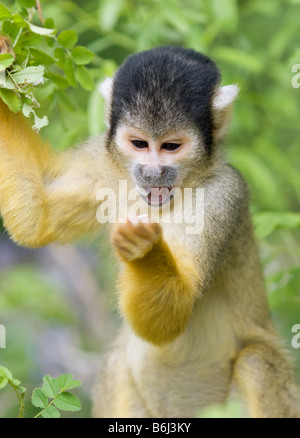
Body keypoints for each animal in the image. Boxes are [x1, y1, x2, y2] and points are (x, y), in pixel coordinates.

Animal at [0, 43, 298, 418]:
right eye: (140, 144)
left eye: (171, 147)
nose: (152, 174)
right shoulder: (105, 165)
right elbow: (36, 216)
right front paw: (3, 68)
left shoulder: (224, 193)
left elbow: (173, 314)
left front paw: (144, 249)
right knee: (115, 363)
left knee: (256, 360)